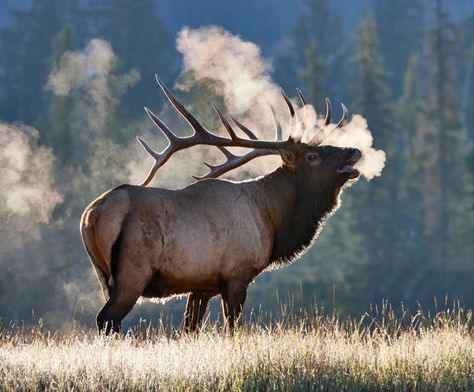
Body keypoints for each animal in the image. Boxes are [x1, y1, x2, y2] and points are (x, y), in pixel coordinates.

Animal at [81, 76, 362, 334]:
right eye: (312, 156)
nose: (354, 150)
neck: (271, 221)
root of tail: (91, 215)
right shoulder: (237, 274)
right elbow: (233, 328)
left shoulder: (201, 286)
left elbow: (190, 329)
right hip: (133, 272)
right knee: (107, 319)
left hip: (102, 275)